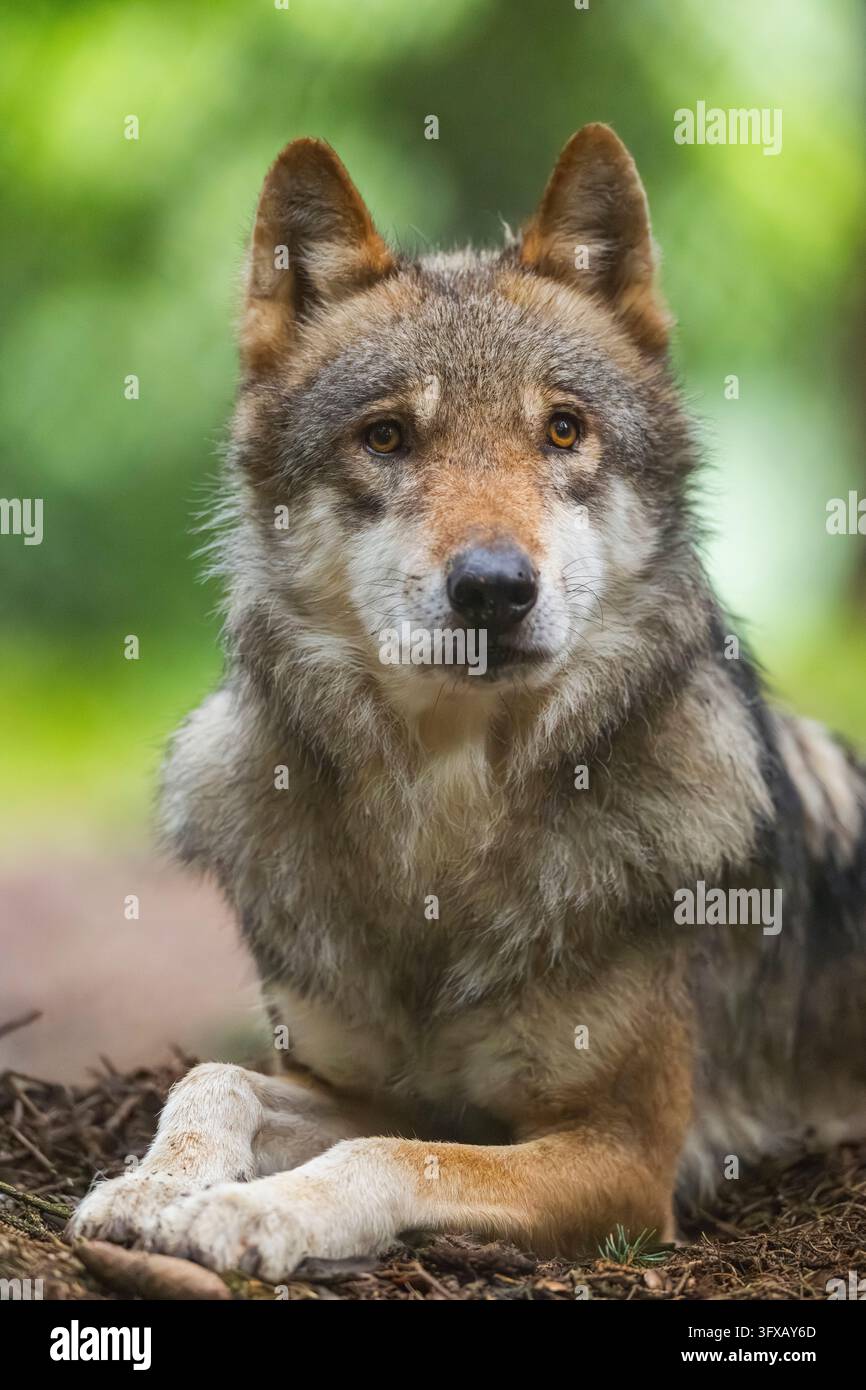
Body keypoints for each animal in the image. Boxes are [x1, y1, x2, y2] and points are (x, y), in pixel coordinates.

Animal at [70, 126, 866, 1280]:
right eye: (387, 437)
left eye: (564, 432)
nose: (493, 587)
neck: (444, 827)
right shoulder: (359, 1084)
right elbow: (209, 1081)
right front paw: (151, 1186)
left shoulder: (626, 1154)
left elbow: (389, 1158)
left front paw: (248, 1213)